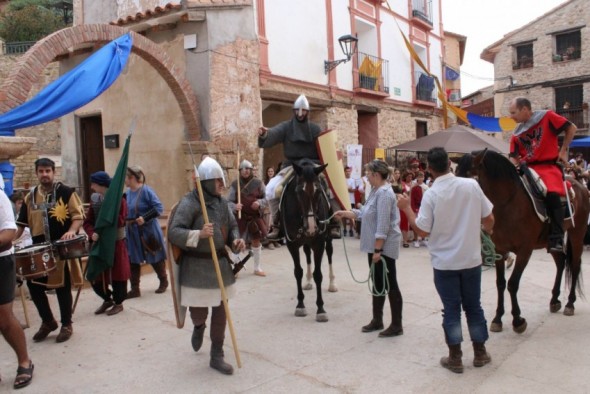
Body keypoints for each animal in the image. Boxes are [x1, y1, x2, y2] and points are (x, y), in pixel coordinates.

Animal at [460, 150, 588, 332]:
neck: (508, 204)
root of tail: (580, 186)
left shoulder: (524, 251)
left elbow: (512, 284)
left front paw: (517, 320)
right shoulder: (499, 250)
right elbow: (500, 283)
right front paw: (498, 318)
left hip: (577, 233)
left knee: (575, 265)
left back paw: (570, 303)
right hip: (550, 242)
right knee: (561, 262)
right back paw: (554, 300)